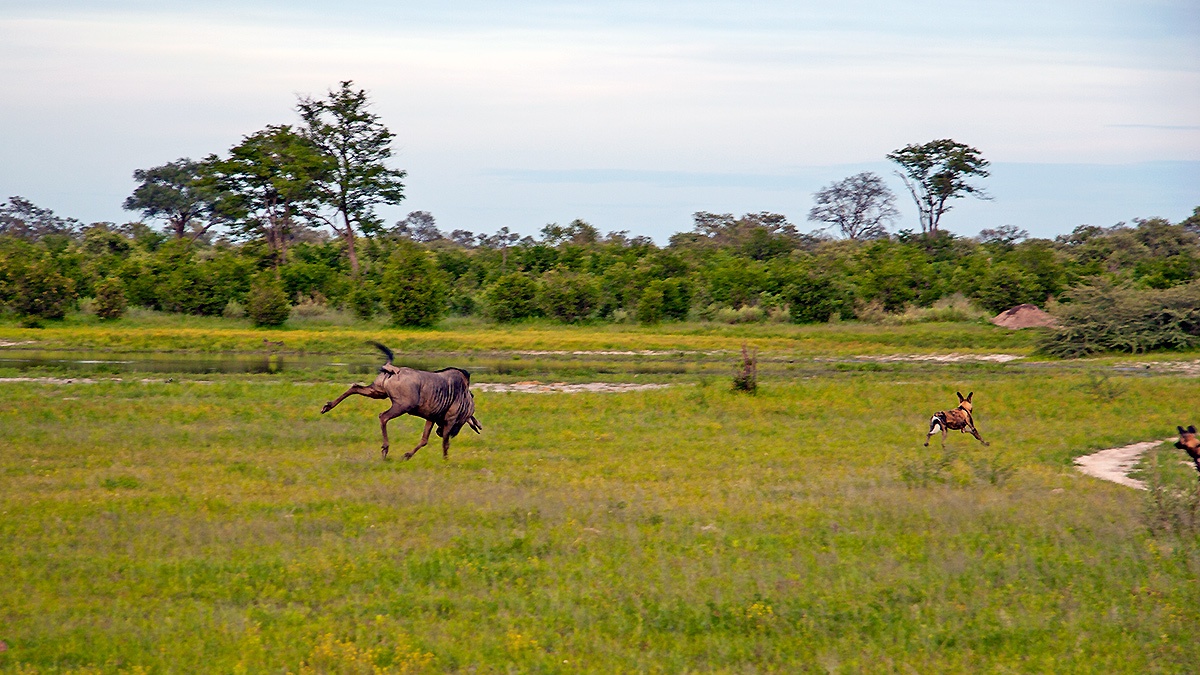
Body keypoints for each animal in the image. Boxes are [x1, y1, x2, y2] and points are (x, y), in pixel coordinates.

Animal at [320, 343, 482, 460]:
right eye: (463, 422)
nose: (439, 432)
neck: (465, 399)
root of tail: (393, 369)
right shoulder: (449, 420)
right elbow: (445, 443)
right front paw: (446, 461)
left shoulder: (431, 417)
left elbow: (424, 440)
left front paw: (407, 455)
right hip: (401, 406)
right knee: (383, 416)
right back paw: (385, 449)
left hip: (377, 392)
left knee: (355, 387)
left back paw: (327, 406)